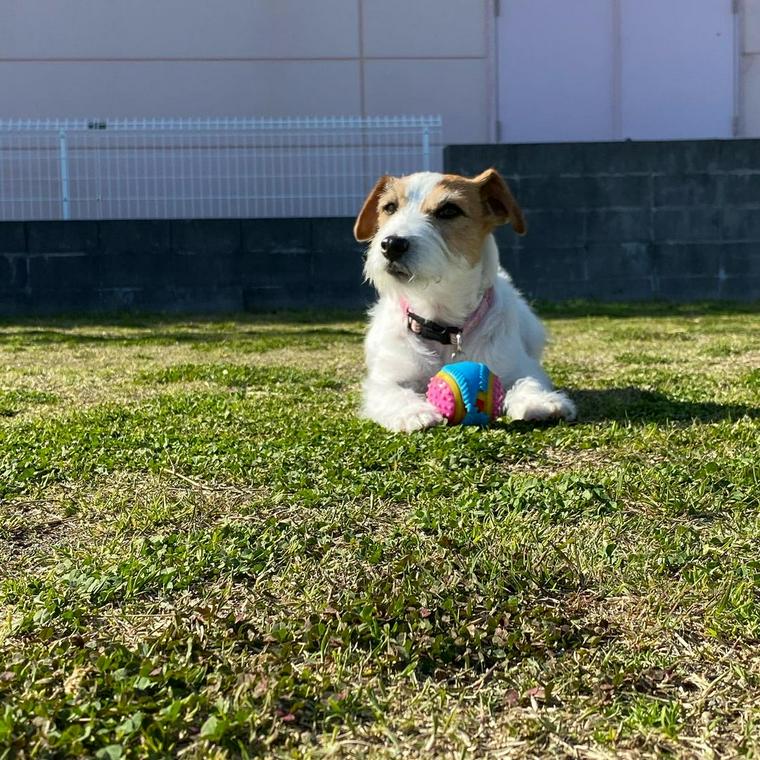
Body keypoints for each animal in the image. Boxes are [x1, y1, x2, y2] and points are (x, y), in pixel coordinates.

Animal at [356, 170, 576, 436]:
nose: (392, 244)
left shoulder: (517, 365)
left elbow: (528, 380)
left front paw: (540, 401)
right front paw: (412, 412)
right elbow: (391, 392)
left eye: (449, 210)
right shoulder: (387, 378)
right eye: (389, 207)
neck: (442, 323)